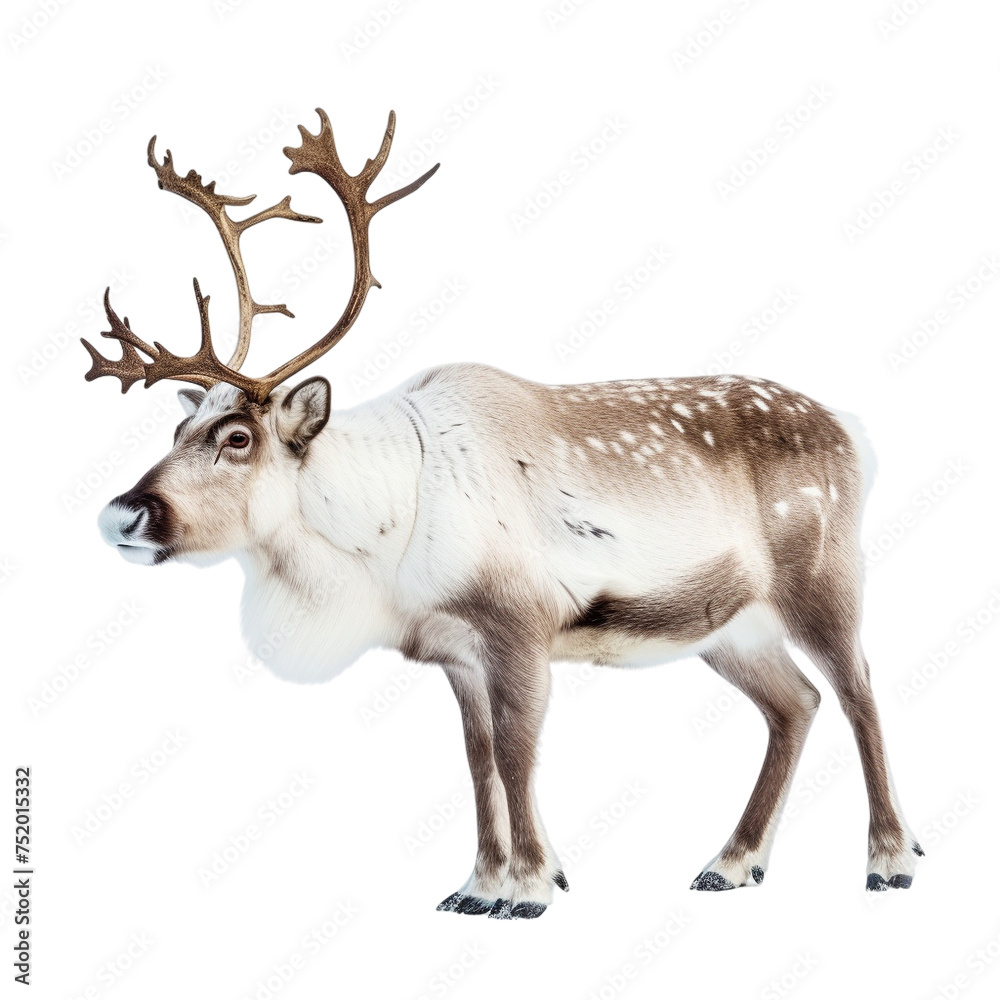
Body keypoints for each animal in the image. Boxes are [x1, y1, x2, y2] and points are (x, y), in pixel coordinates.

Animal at [83, 108, 922, 920]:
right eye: (176, 432)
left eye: (237, 436)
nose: (122, 513)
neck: (379, 544)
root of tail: (855, 432)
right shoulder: (457, 650)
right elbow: (478, 757)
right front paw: (482, 884)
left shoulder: (519, 622)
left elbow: (518, 754)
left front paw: (526, 889)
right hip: (729, 627)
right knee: (797, 703)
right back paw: (732, 863)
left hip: (822, 576)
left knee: (859, 690)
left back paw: (890, 860)